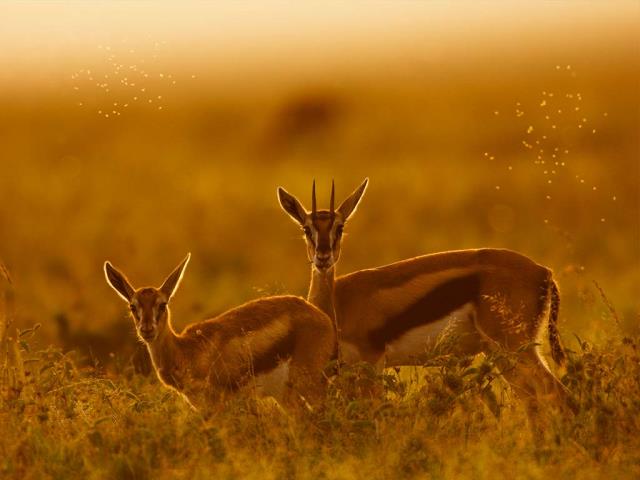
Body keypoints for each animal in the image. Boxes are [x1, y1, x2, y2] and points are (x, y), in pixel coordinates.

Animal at [104, 253, 334, 410]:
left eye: (162, 304)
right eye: (133, 306)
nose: (147, 330)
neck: (186, 351)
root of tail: (320, 315)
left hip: (307, 386)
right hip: (285, 395)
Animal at [277, 179, 573, 417]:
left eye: (339, 227)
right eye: (306, 228)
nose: (323, 257)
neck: (336, 306)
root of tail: (544, 272)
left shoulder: (371, 363)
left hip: (513, 347)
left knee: (555, 393)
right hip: (501, 353)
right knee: (533, 400)